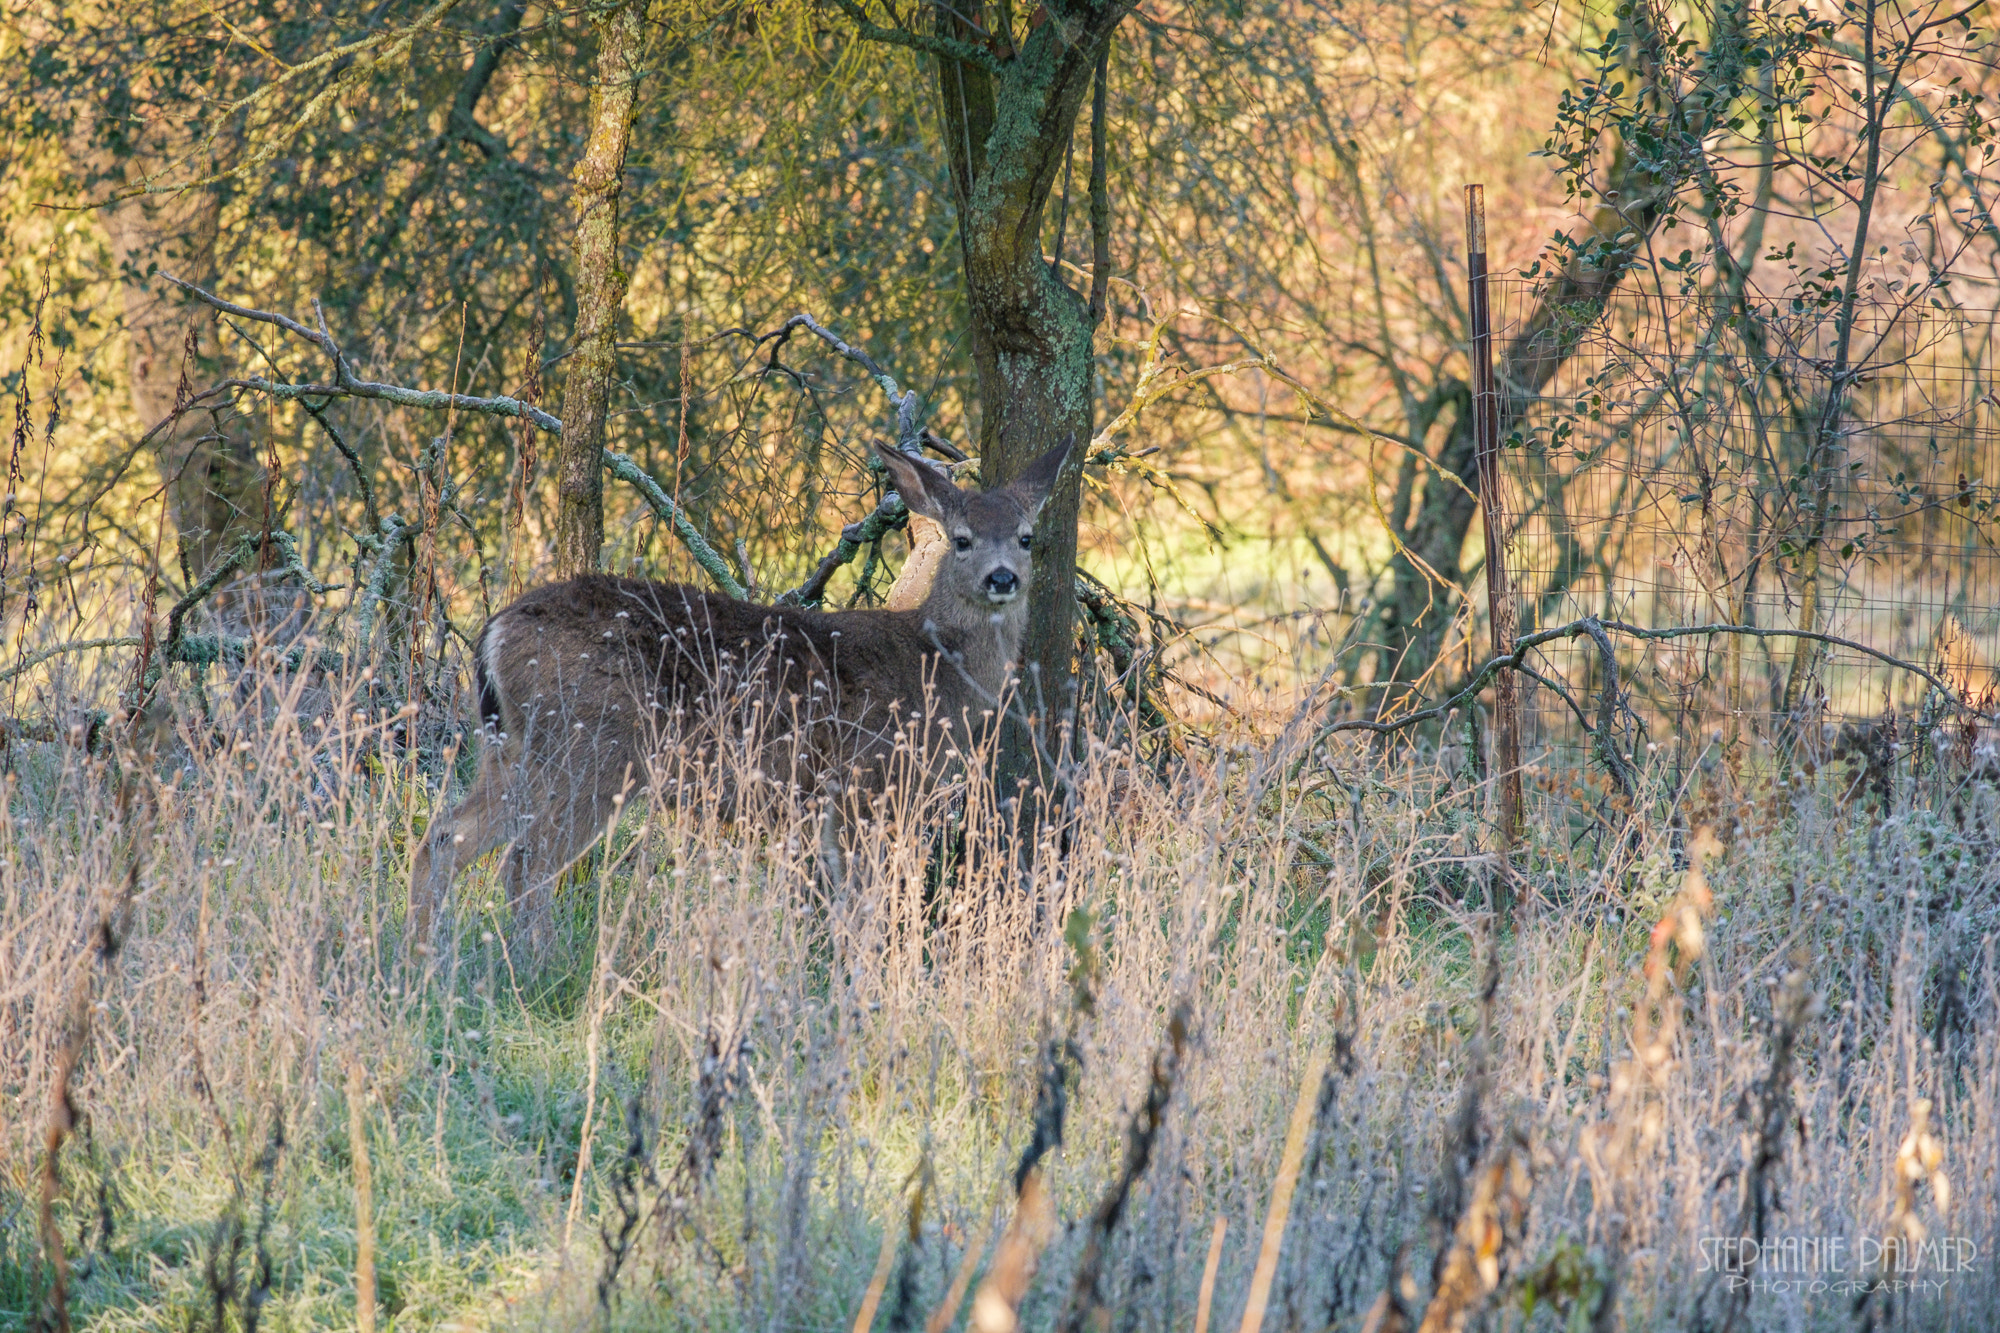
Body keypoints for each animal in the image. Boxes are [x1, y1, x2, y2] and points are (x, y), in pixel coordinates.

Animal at [410, 434, 1080, 944]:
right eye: (962, 538)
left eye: (1026, 537)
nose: (1002, 578)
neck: (932, 666)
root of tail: (494, 631)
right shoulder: (869, 783)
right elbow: (868, 904)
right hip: (593, 751)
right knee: (527, 863)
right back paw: (535, 967)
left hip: (512, 749)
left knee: (444, 838)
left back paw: (425, 959)